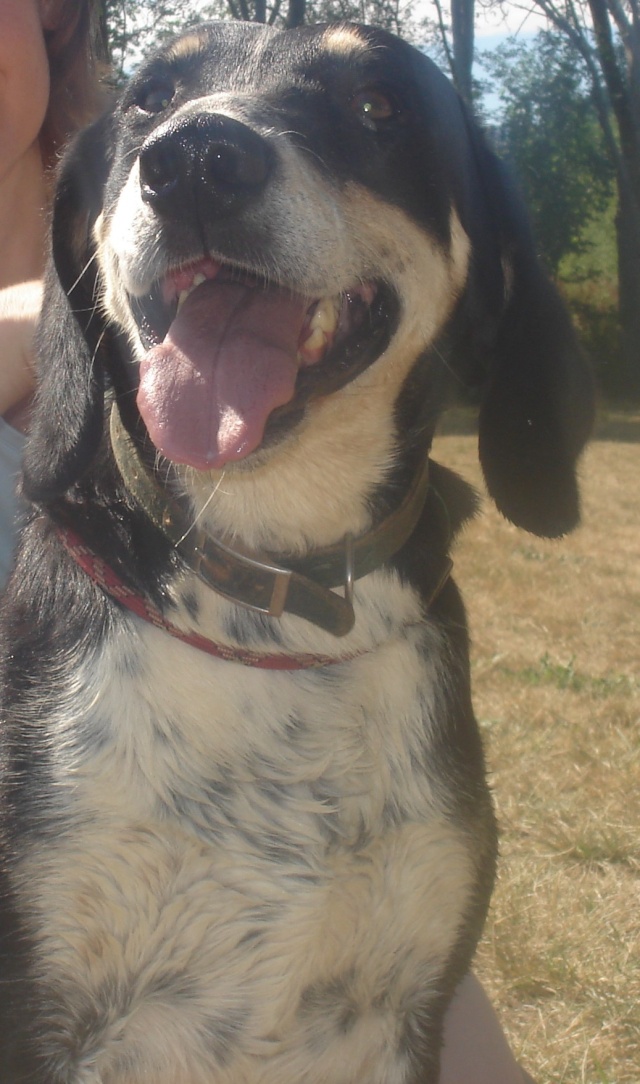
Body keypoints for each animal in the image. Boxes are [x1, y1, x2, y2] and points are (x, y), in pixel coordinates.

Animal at [0, 19, 598, 1084]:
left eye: (377, 103)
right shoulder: (46, 1008)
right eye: (149, 97)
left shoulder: (403, 1006)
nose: (196, 161)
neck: (274, 604)